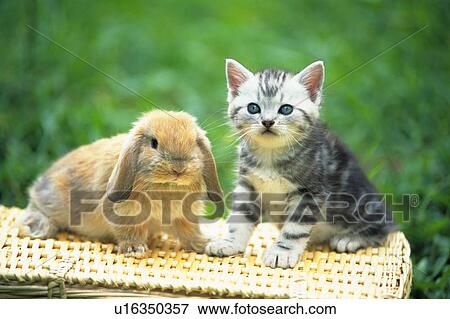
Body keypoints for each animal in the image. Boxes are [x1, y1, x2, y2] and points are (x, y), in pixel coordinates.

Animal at [206, 58, 396, 268]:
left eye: (286, 109)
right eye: (253, 108)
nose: (268, 121)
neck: (270, 155)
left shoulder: (308, 192)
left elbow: (294, 229)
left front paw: (282, 252)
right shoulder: (248, 186)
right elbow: (239, 218)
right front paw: (230, 242)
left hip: (365, 205)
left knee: (384, 229)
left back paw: (351, 239)